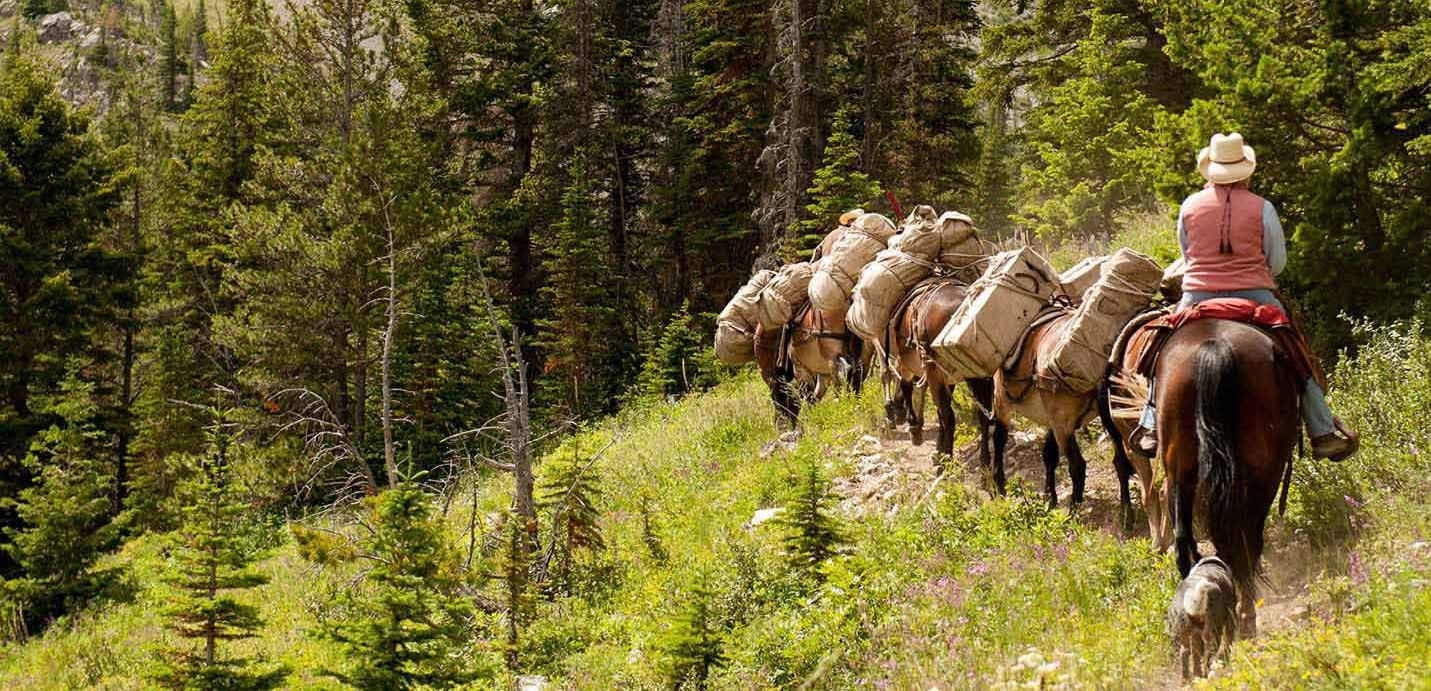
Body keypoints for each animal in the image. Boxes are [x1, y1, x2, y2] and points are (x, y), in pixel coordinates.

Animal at [883, 277, 995, 473]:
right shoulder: (947, 379)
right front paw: (937, 451)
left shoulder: (915, 368)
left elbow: (907, 387)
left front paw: (915, 428)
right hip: (976, 374)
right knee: (982, 415)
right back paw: (984, 465)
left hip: (936, 372)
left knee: (949, 416)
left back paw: (947, 465)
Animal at [991, 310, 1138, 520]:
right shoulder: (1051, 419)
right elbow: (1049, 454)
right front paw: (1049, 498)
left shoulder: (1002, 400)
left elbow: (999, 438)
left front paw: (998, 485)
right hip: (1107, 418)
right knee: (1120, 462)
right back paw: (1126, 514)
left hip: (1064, 424)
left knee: (1078, 465)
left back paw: (1072, 515)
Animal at [1142, 319, 1299, 637]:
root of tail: (1213, 349)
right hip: (1265, 470)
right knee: (1246, 541)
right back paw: (1247, 614)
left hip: (1179, 470)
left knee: (1185, 541)